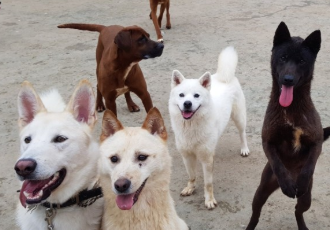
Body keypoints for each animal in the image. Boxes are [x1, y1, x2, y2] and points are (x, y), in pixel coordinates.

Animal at [169, 45, 249, 209]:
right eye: (181, 95)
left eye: (196, 95)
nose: (187, 104)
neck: (191, 126)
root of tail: (224, 76)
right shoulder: (187, 156)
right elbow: (192, 176)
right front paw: (190, 187)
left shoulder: (206, 159)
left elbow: (208, 183)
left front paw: (209, 199)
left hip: (239, 117)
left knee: (242, 133)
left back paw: (244, 148)